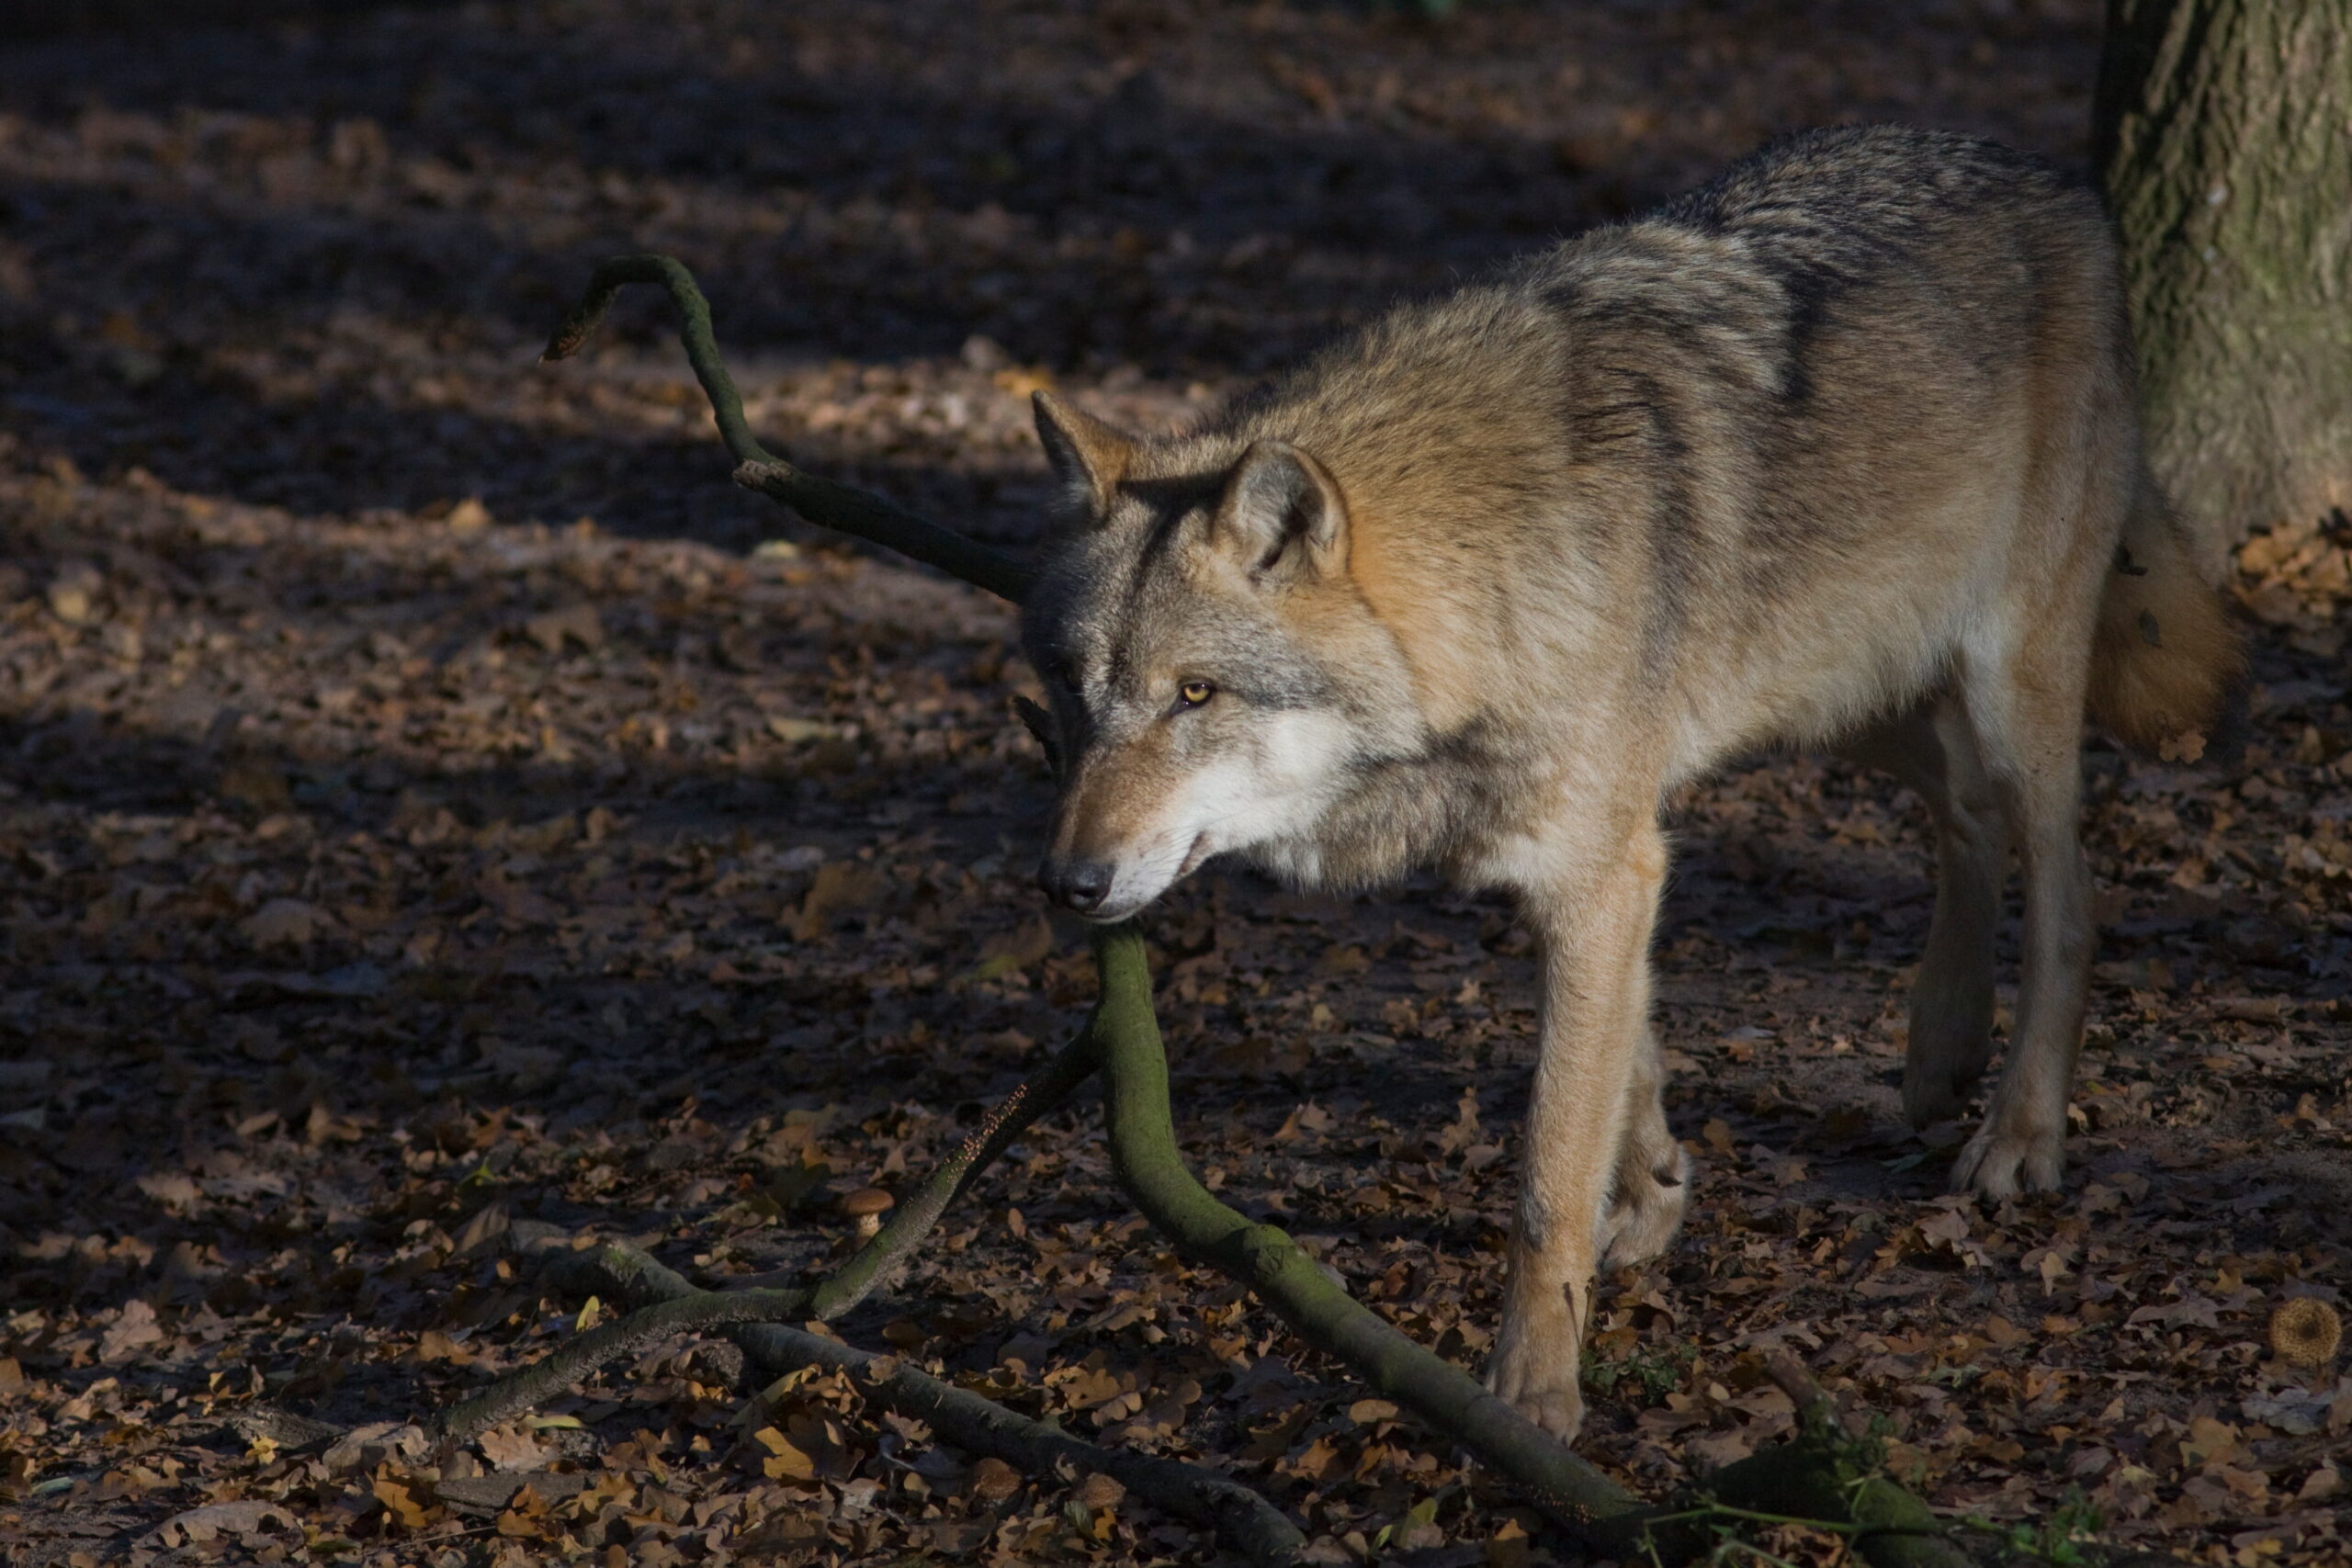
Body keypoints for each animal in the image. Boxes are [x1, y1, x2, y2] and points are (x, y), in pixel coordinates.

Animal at [1016, 125, 2240, 1440]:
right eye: (1070, 686)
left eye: (1195, 695)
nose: (1067, 884)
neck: (1497, 572)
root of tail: (2042, 169)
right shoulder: (1605, 858)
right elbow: (1631, 1054)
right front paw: (1650, 1187)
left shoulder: (1603, 862)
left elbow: (1548, 1171)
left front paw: (1529, 1393)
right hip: (1839, 689)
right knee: (1960, 810)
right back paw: (1936, 1048)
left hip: (2002, 683)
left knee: (2067, 888)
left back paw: (2018, 1135)